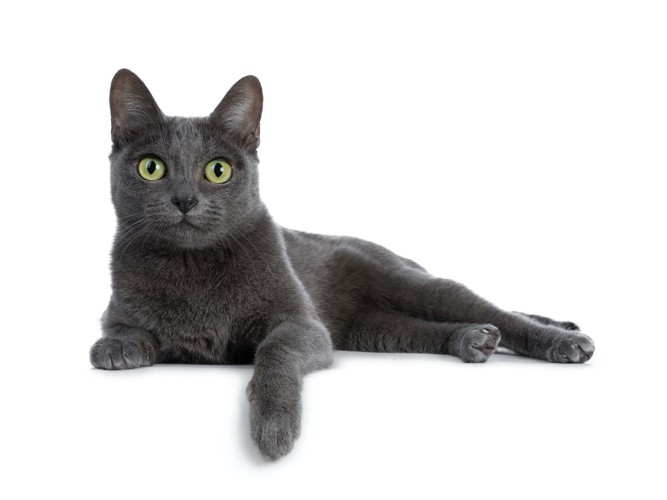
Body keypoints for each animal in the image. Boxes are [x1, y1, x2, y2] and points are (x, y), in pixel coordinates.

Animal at [88, 69, 596, 460]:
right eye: (151, 167)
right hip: (372, 330)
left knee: (486, 306)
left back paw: (565, 340)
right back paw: (474, 340)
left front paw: (274, 427)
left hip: (404, 282)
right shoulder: (116, 311)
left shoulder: (302, 324)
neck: (192, 266)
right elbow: (117, 334)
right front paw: (118, 349)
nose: (184, 200)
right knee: (429, 328)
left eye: (218, 170)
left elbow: (275, 351)